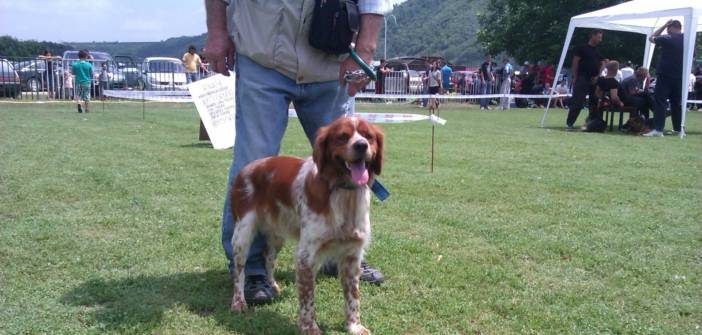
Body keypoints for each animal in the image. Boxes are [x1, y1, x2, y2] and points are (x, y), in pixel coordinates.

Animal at [230, 116, 384, 335]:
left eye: (368, 136)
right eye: (342, 136)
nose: (361, 145)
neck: (343, 193)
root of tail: (246, 168)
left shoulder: (352, 255)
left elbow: (353, 297)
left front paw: (354, 326)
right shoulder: (306, 256)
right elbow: (307, 299)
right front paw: (309, 327)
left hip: (277, 235)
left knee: (268, 257)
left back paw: (272, 285)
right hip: (242, 234)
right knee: (239, 271)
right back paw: (238, 302)